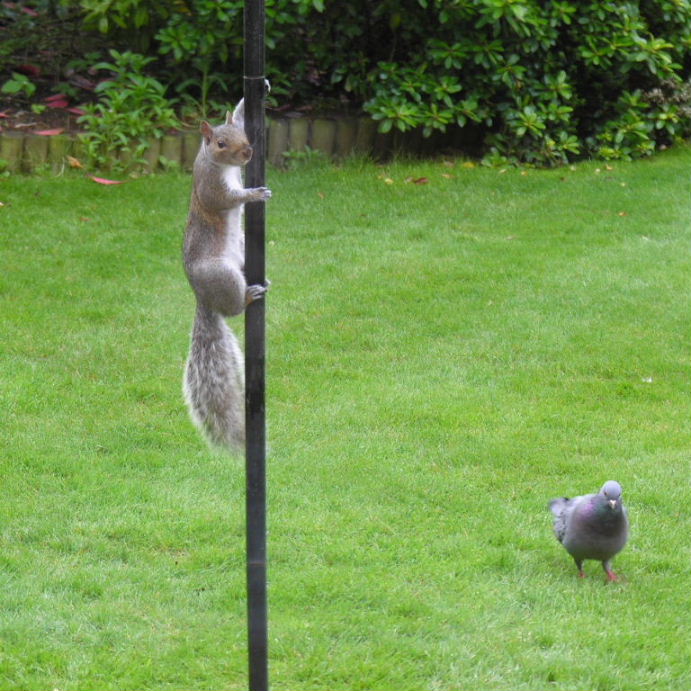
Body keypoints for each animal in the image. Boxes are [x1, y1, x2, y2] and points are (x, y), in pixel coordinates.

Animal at [182, 98, 271, 452]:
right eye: (221, 144)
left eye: (244, 135)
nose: (248, 152)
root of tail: (201, 295)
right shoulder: (209, 185)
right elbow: (225, 198)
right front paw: (254, 195)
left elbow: (239, 112)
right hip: (222, 274)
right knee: (233, 308)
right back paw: (249, 295)